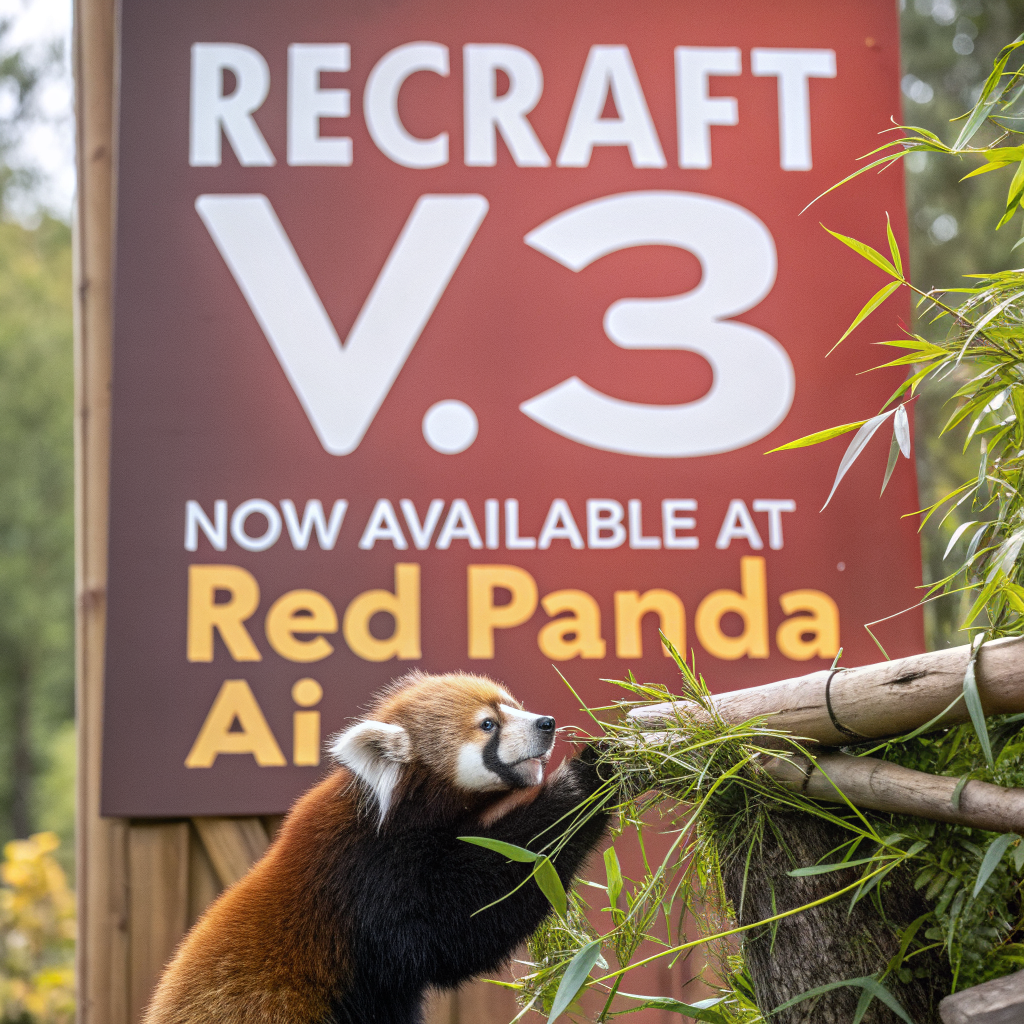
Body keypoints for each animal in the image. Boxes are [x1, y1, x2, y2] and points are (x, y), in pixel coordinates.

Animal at [143, 671, 611, 1024]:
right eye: (488, 724)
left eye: (516, 706)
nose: (546, 723)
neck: (397, 811)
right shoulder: (365, 876)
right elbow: (455, 928)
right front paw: (589, 776)